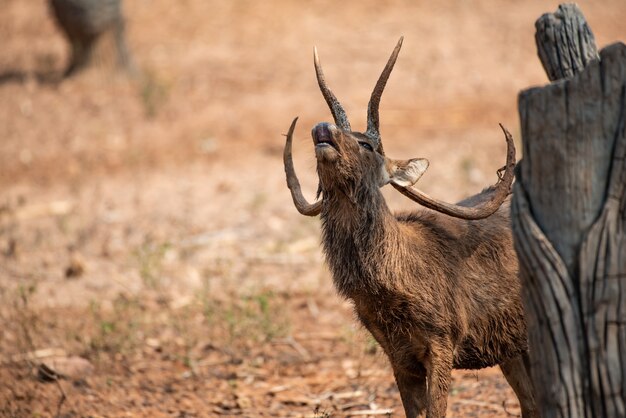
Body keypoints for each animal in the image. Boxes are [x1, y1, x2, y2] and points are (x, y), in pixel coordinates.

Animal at [282, 36, 536, 418]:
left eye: (367, 144)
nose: (322, 128)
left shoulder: (443, 339)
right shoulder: (397, 355)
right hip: (511, 346)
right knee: (533, 403)